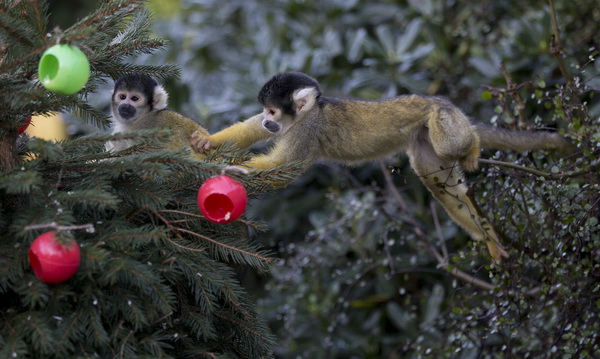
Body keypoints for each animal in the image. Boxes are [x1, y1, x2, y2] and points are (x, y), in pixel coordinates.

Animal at [192, 72, 576, 262]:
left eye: (273, 110)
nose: (268, 121)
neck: (307, 114)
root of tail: (443, 103)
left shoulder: (307, 130)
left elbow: (282, 167)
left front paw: (235, 171)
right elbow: (250, 131)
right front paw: (207, 144)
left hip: (442, 119)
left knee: (451, 144)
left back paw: (475, 146)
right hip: (424, 141)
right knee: (440, 184)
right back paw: (489, 238)